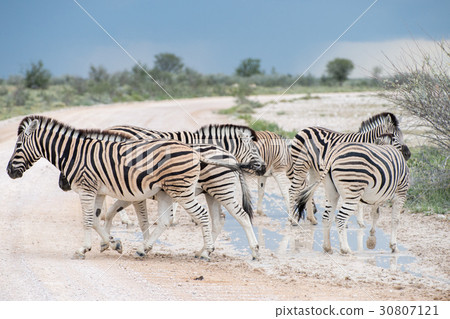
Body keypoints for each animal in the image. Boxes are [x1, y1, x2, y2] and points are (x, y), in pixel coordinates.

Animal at [6, 115, 239, 260]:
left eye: (18, 146)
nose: (8, 171)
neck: (75, 153)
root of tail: (195, 152)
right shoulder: (98, 191)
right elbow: (97, 219)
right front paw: (113, 244)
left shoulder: (87, 189)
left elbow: (88, 219)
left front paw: (83, 249)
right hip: (175, 190)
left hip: (183, 190)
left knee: (204, 215)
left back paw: (206, 252)